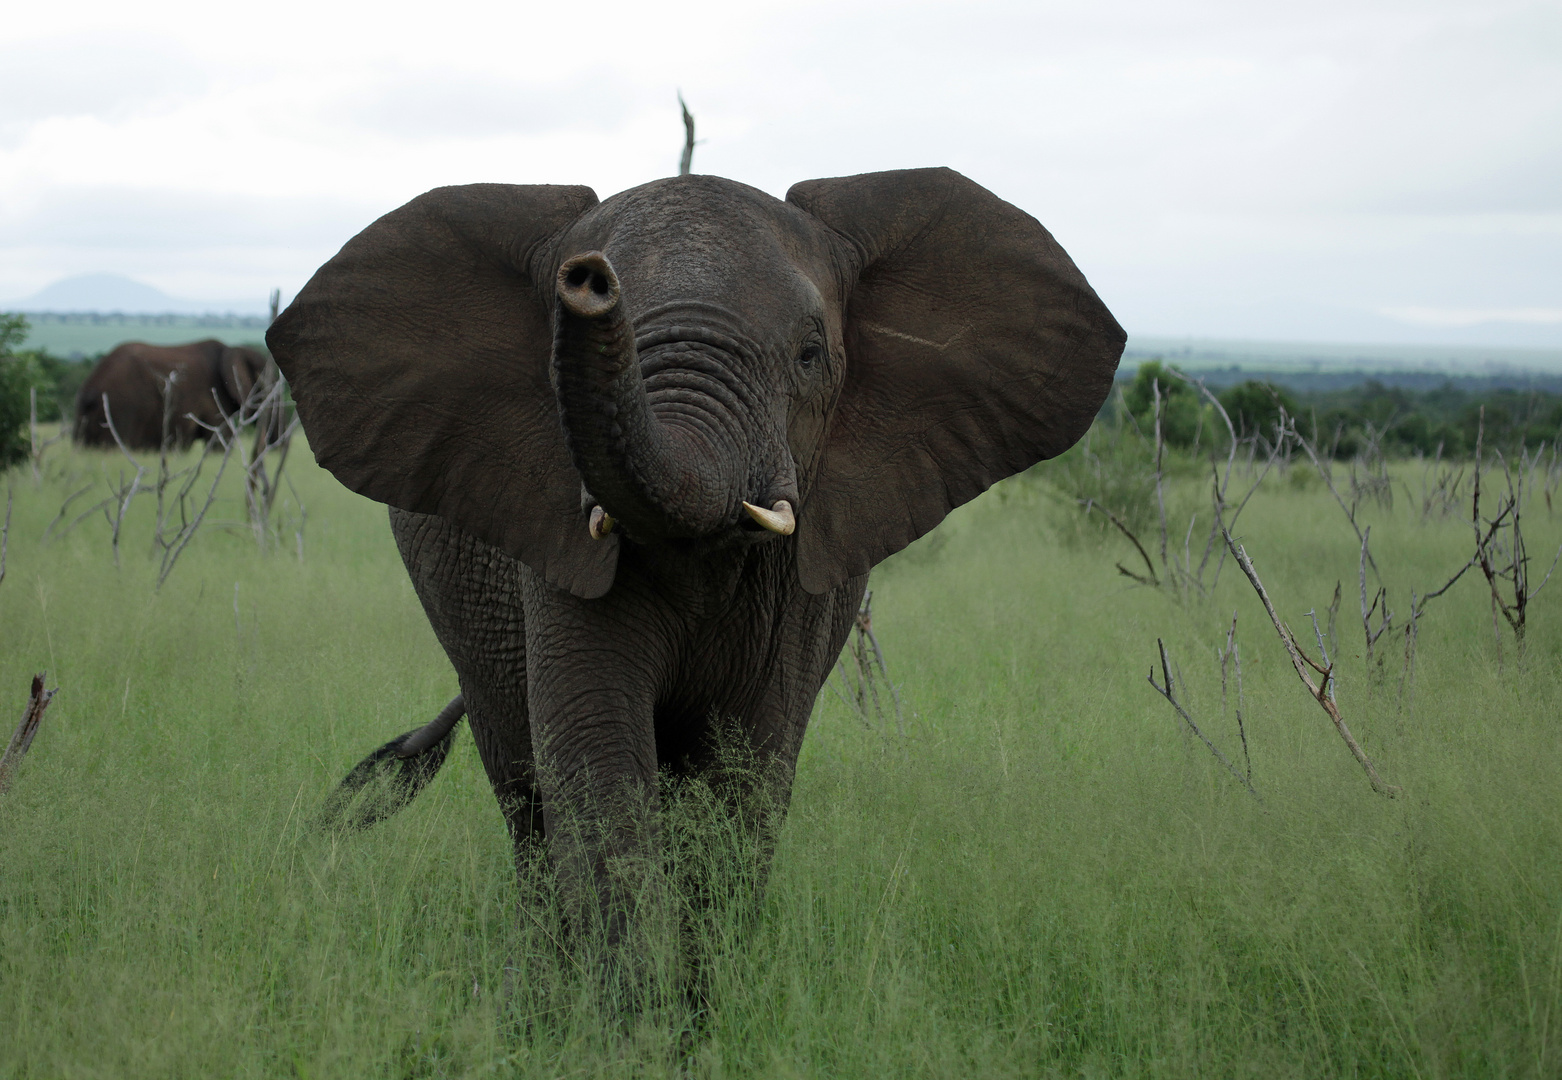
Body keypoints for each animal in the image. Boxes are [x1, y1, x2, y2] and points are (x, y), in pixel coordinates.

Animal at [268, 167, 1124, 969]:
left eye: (810, 356)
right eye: (555, 353)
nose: (588, 279)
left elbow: (745, 778)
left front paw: (700, 1008)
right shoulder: (563, 548)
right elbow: (598, 768)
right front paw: (628, 1015)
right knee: (526, 802)